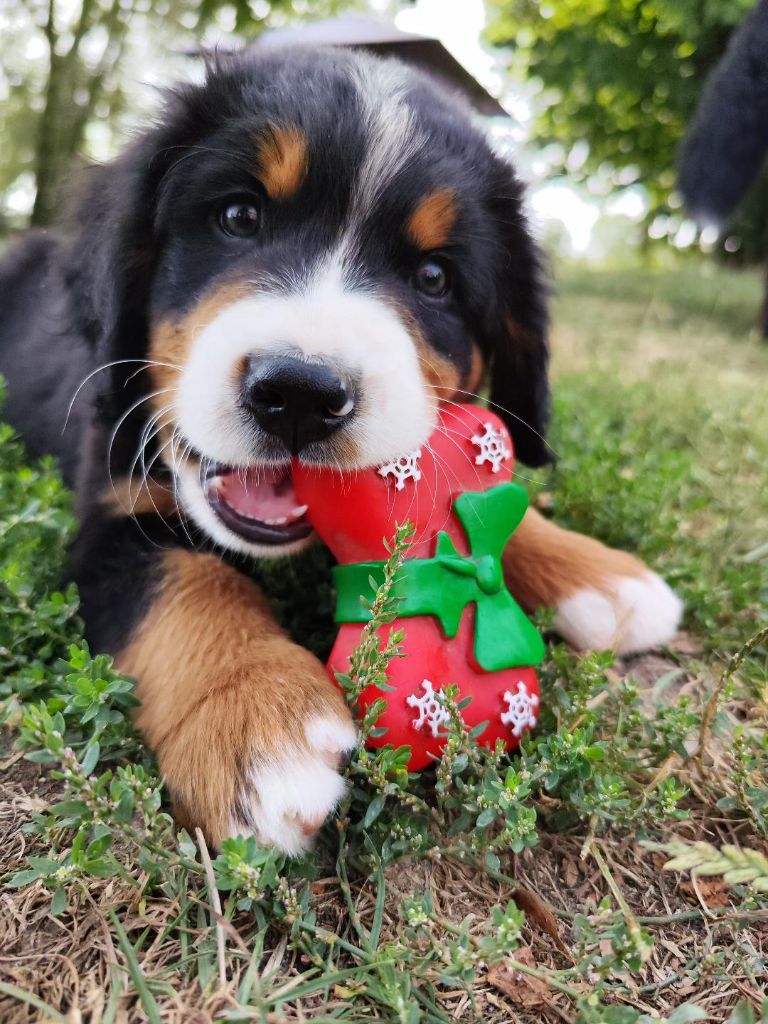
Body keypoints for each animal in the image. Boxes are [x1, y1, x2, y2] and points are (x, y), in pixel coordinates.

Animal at [0, 46, 684, 856]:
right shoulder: (108, 515)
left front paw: (602, 576)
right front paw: (256, 723)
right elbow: (187, 579)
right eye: (239, 216)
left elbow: (486, 505)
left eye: (434, 277)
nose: (298, 392)